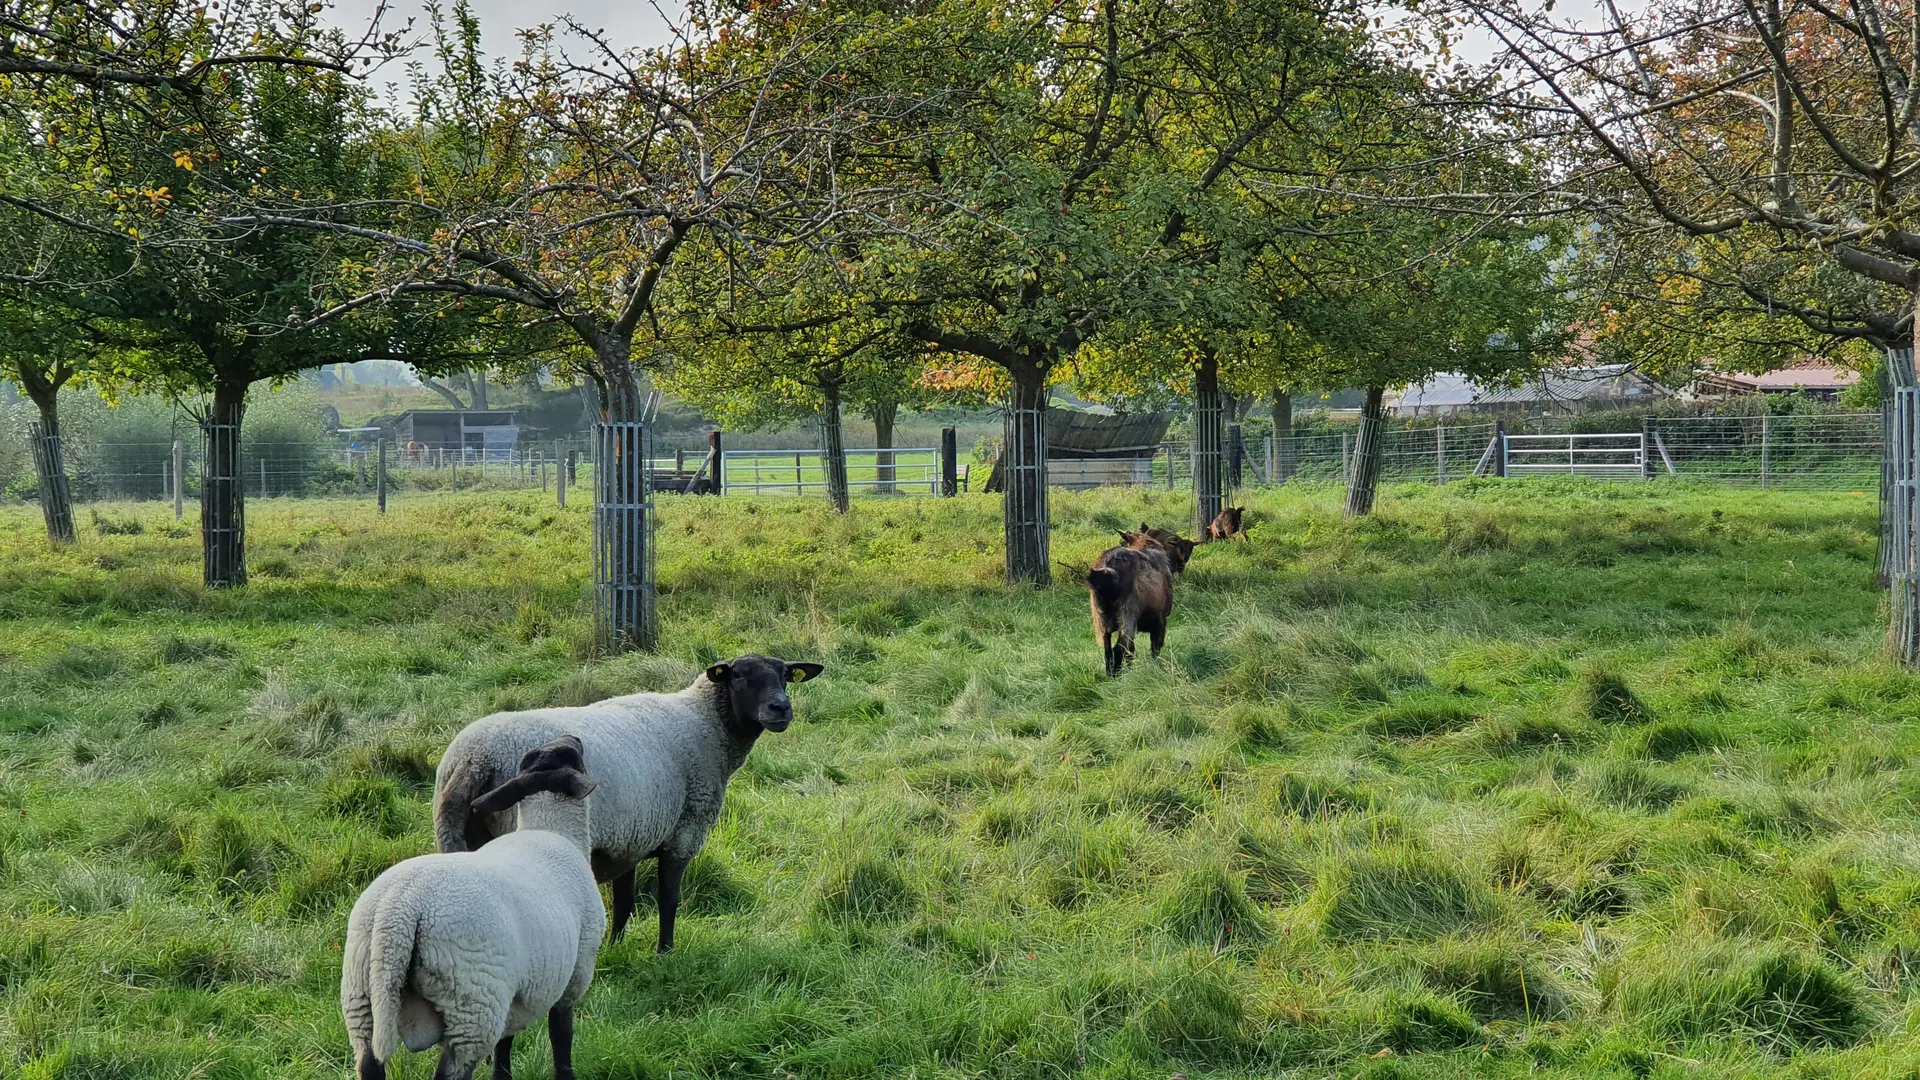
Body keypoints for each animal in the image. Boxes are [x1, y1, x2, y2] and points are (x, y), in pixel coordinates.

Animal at [341, 730, 602, 1076]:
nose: (572, 735)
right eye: (573, 753)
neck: (551, 829)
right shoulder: (574, 975)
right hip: (472, 1005)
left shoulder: (514, 999)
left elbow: (505, 1046)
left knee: (369, 1061)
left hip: (361, 998)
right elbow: (562, 1037)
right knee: (451, 1070)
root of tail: (398, 910)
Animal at [432, 653, 821, 945]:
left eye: (785, 676)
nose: (781, 709)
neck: (706, 723)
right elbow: (668, 899)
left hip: (460, 834)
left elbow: (624, 902)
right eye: (739, 677)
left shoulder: (630, 837)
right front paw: (665, 952)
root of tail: (472, 758)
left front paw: (616, 948)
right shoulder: (684, 833)